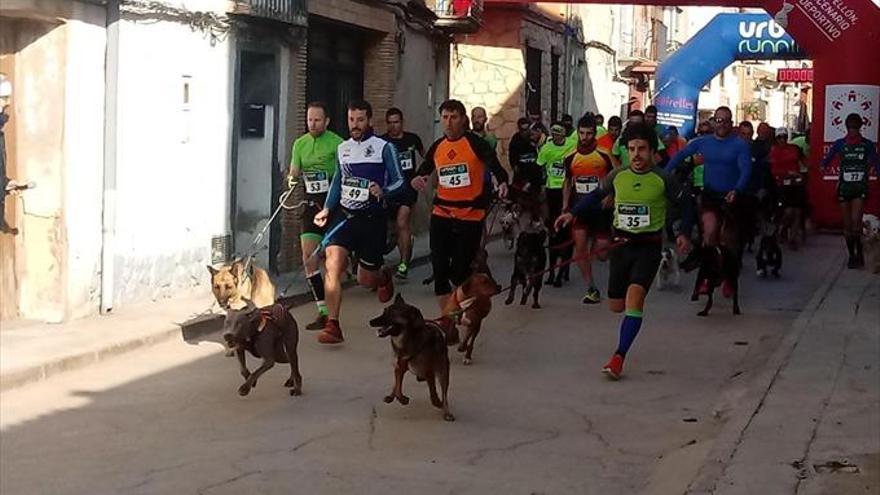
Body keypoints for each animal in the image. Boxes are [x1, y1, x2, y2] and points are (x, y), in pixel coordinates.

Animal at [370, 292, 458, 424]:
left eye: (392, 314)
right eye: (384, 311)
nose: (370, 322)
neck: (404, 341)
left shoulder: (429, 372)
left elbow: (433, 393)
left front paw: (438, 402)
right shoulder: (399, 368)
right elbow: (397, 389)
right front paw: (402, 399)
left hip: (443, 371)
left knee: (444, 393)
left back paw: (446, 411)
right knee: (395, 385)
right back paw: (391, 396)